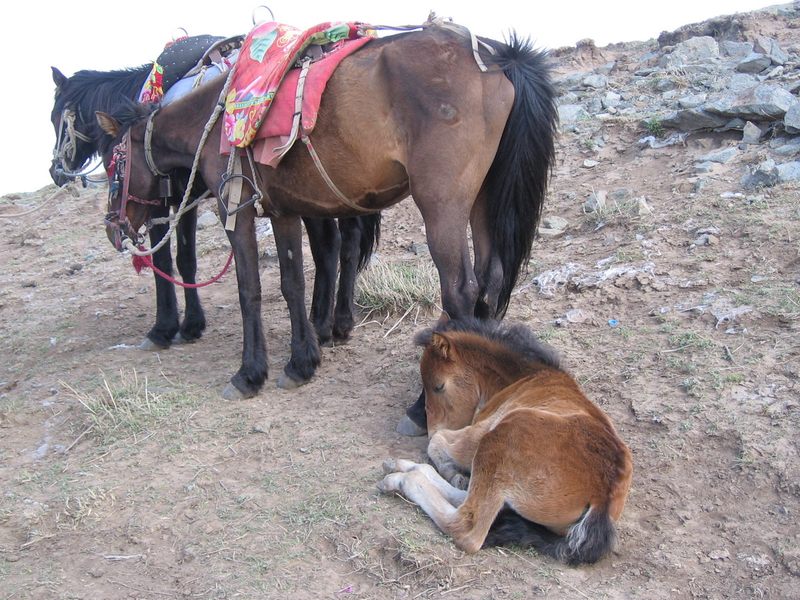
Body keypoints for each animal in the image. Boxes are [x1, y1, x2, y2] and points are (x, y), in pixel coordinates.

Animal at [50, 53, 379, 352]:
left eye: (55, 118)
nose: (55, 171)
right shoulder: (185, 201)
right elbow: (185, 258)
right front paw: (191, 324)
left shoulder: (165, 202)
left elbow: (166, 261)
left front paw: (166, 328)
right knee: (347, 241)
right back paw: (338, 322)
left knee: (329, 246)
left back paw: (321, 325)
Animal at [97, 23, 559, 413]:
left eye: (112, 162)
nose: (114, 227)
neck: (216, 120)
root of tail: (499, 56)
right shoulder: (283, 212)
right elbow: (292, 284)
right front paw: (301, 362)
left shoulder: (237, 213)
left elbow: (250, 289)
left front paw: (249, 374)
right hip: (482, 199)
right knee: (490, 280)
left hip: (442, 205)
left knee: (460, 291)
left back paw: (421, 408)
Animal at [378, 318, 633, 564]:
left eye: (439, 386)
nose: (430, 429)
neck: (526, 377)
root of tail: (602, 496)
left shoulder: (474, 435)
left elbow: (437, 443)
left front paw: (450, 468)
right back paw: (403, 468)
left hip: (498, 439)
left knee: (467, 525)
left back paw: (401, 480)